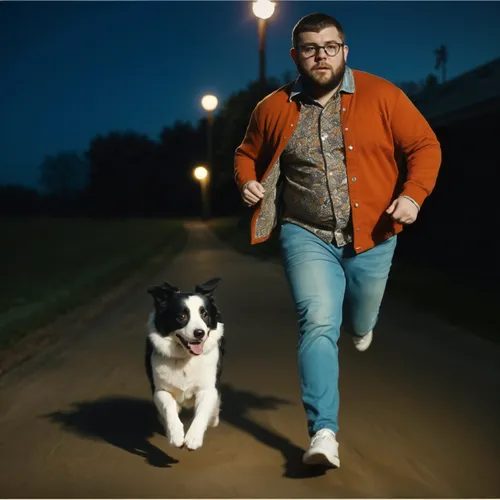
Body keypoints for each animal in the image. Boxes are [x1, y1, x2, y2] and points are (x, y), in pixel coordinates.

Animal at [144, 276, 224, 452]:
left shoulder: (207, 389)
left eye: (205, 314)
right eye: (181, 316)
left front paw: (193, 438)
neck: (185, 358)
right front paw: (175, 435)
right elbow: (169, 407)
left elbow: (202, 412)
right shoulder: (160, 390)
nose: (199, 333)